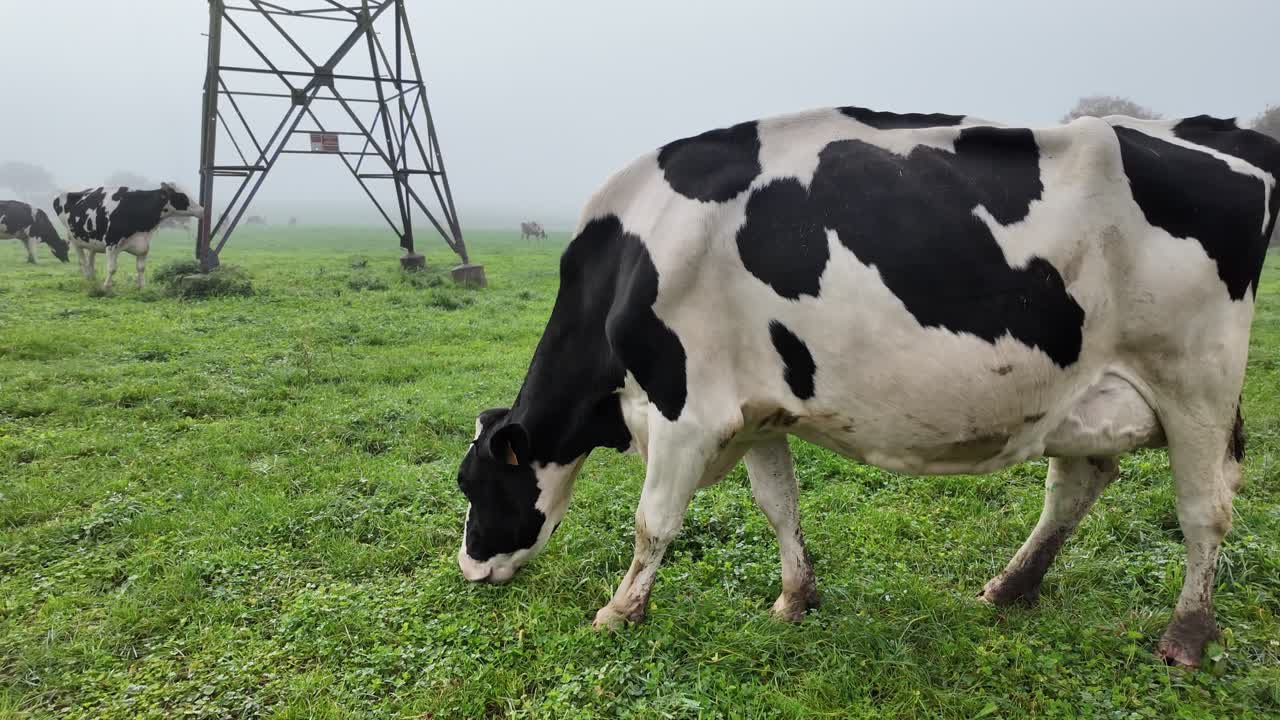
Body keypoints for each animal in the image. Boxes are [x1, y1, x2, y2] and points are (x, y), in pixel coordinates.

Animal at [53, 183, 204, 290]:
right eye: (182, 196)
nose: (202, 210)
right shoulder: (111, 243)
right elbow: (112, 268)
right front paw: (106, 286)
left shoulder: (143, 245)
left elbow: (141, 267)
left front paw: (142, 286)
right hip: (74, 238)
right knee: (82, 261)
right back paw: (87, 278)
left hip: (92, 241)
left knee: (91, 259)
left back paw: (92, 278)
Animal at [453, 106, 1280, 668]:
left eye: (474, 484)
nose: (469, 566)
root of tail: (1222, 139)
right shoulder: (756, 412)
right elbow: (778, 504)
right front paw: (795, 597)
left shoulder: (685, 409)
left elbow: (652, 522)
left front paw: (620, 611)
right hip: (1088, 388)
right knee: (1079, 482)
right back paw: (1012, 587)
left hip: (1196, 383)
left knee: (1205, 510)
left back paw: (1185, 636)